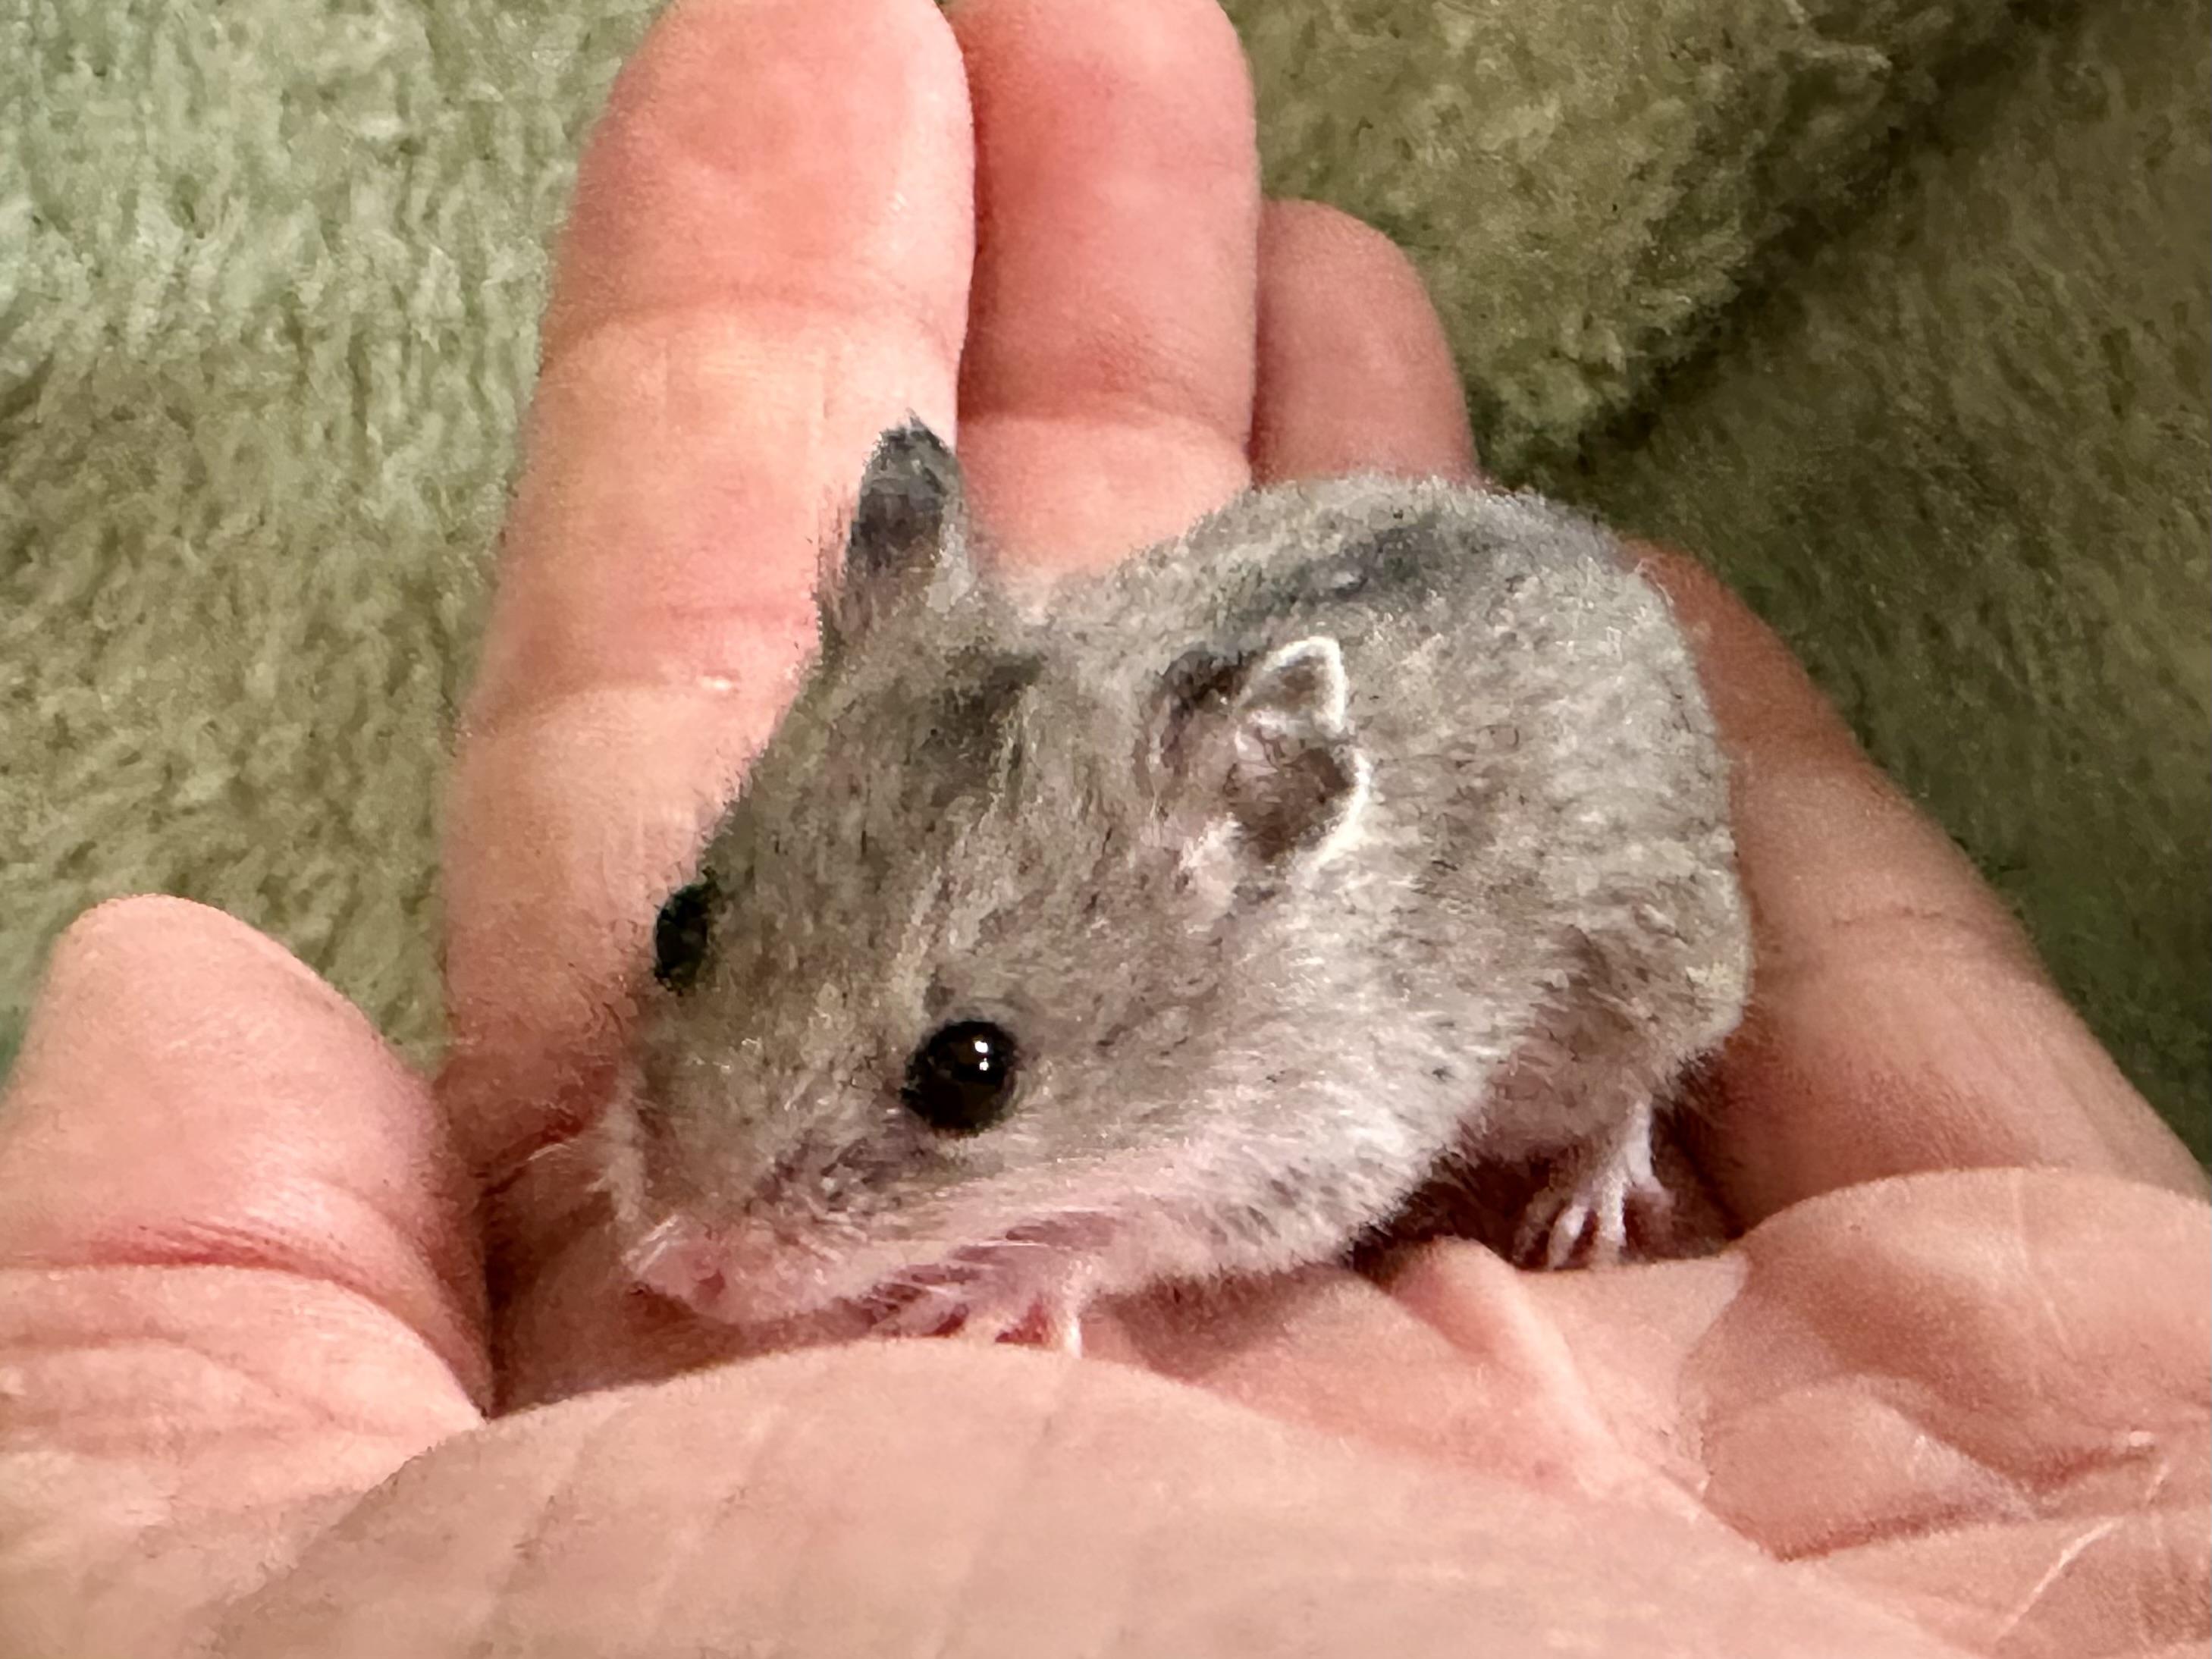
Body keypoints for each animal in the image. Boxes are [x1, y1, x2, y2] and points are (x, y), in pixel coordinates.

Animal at [600, 420, 1750, 1354]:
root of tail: (1620, 573)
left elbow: (1121, 1233)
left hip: (1646, 981)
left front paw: (984, 1297)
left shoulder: (1312, 1159)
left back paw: (1584, 1213)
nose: (668, 1266)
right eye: (675, 927)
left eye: (974, 1072)